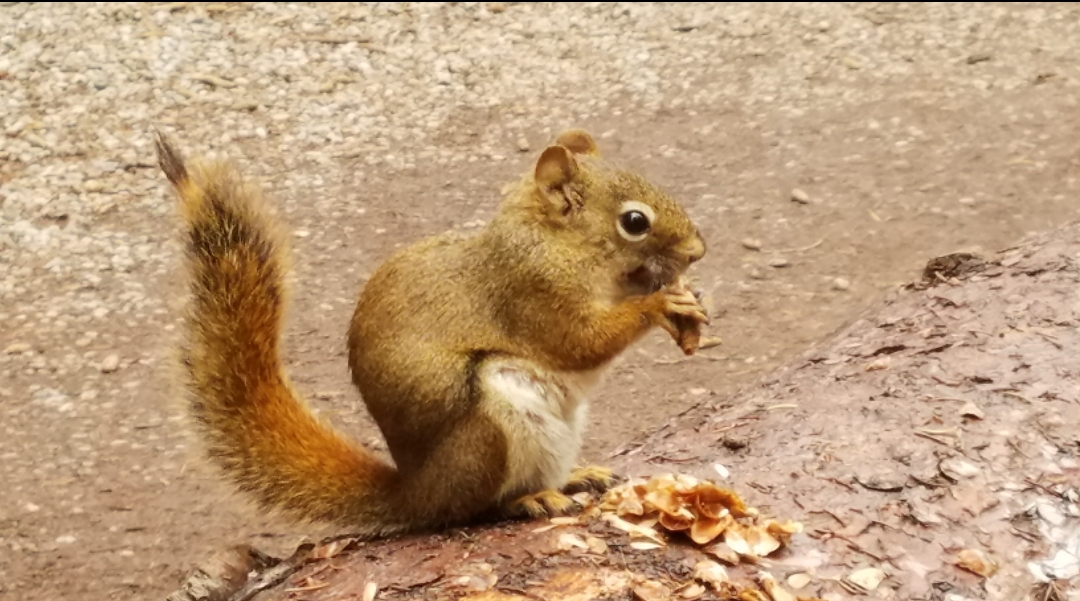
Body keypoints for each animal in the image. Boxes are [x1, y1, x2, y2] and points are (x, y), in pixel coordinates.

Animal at [154, 129, 708, 538]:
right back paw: (527, 499)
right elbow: (580, 343)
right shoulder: (532, 293)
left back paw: (573, 477)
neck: (558, 244)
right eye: (634, 221)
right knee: (475, 509)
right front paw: (661, 304)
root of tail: (419, 492)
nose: (698, 251)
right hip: (492, 428)